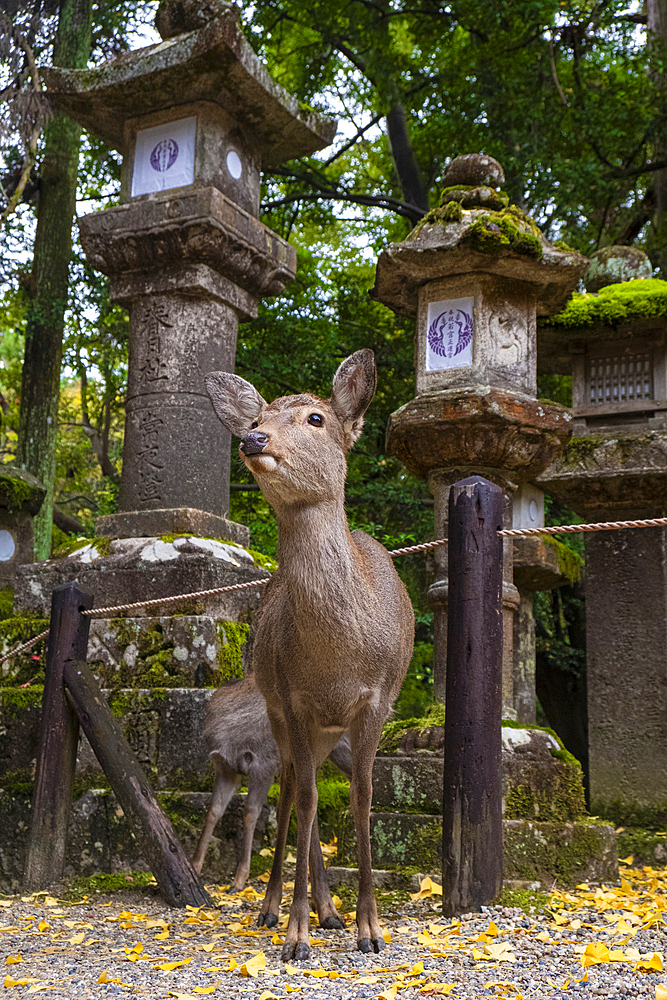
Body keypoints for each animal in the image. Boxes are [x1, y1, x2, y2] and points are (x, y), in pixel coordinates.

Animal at [193, 672, 354, 892]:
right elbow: (213, 811)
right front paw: (194, 867)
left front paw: (239, 880)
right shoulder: (226, 768)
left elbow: (250, 812)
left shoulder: (264, 763)